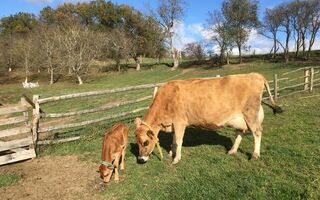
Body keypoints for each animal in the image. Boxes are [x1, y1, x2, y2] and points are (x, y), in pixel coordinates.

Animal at [134, 73, 282, 164]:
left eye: (145, 142)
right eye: (137, 143)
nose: (140, 159)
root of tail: (255, 74)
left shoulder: (180, 121)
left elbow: (178, 140)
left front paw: (176, 158)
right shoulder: (174, 124)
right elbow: (173, 139)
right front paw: (172, 152)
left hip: (250, 113)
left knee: (257, 132)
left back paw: (255, 155)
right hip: (240, 118)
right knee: (241, 132)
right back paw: (232, 150)